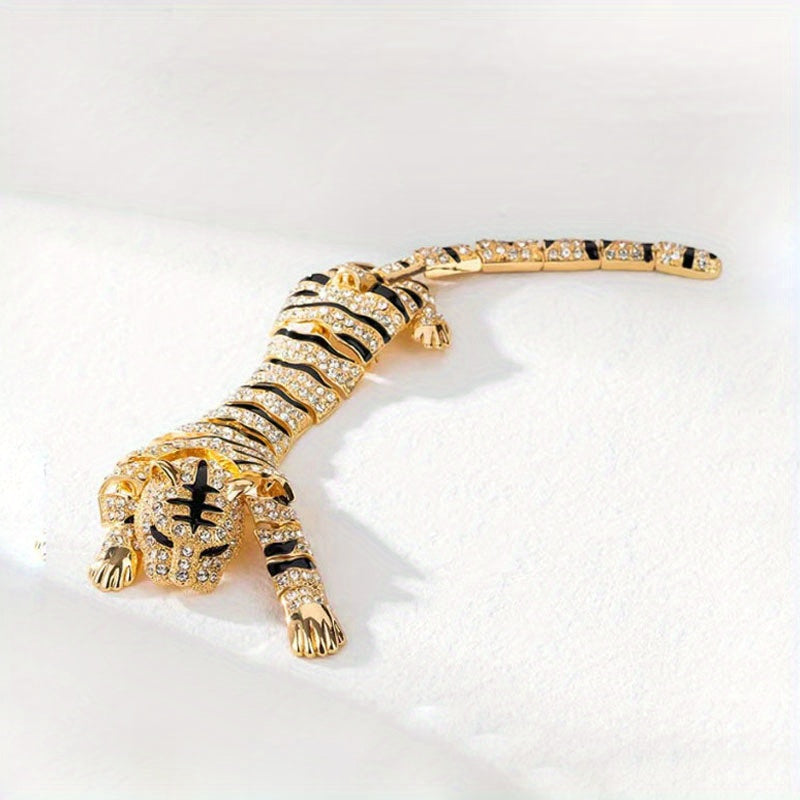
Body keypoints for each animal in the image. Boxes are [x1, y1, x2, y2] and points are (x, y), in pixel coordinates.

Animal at [88, 238, 721, 658]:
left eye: (218, 552)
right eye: (162, 538)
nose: (179, 583)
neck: (215, 451)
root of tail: (365, 274)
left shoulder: (271, 500)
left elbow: (292, 559)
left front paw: (313, 620)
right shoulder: (134, 464)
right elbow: (113, 502)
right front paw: (115, 559)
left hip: (393, 305)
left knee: (423, 292)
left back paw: (433, 329)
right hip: (302, 295)